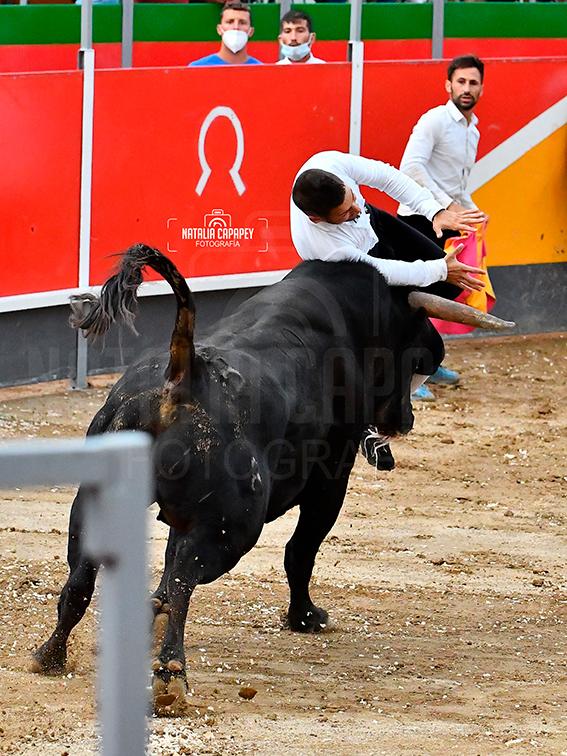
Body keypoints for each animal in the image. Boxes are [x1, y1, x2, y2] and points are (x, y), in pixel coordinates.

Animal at [30, 244, 484, 716]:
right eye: (415, 361)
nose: (405, 420)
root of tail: (185, 371)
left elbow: (167, 560)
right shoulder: (330, 480)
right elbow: (301, 550)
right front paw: (305, 617)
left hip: (96, 500)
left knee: (83, 576)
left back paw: (50, 655)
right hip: (233, 531)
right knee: (184, 583)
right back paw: (171, 677)